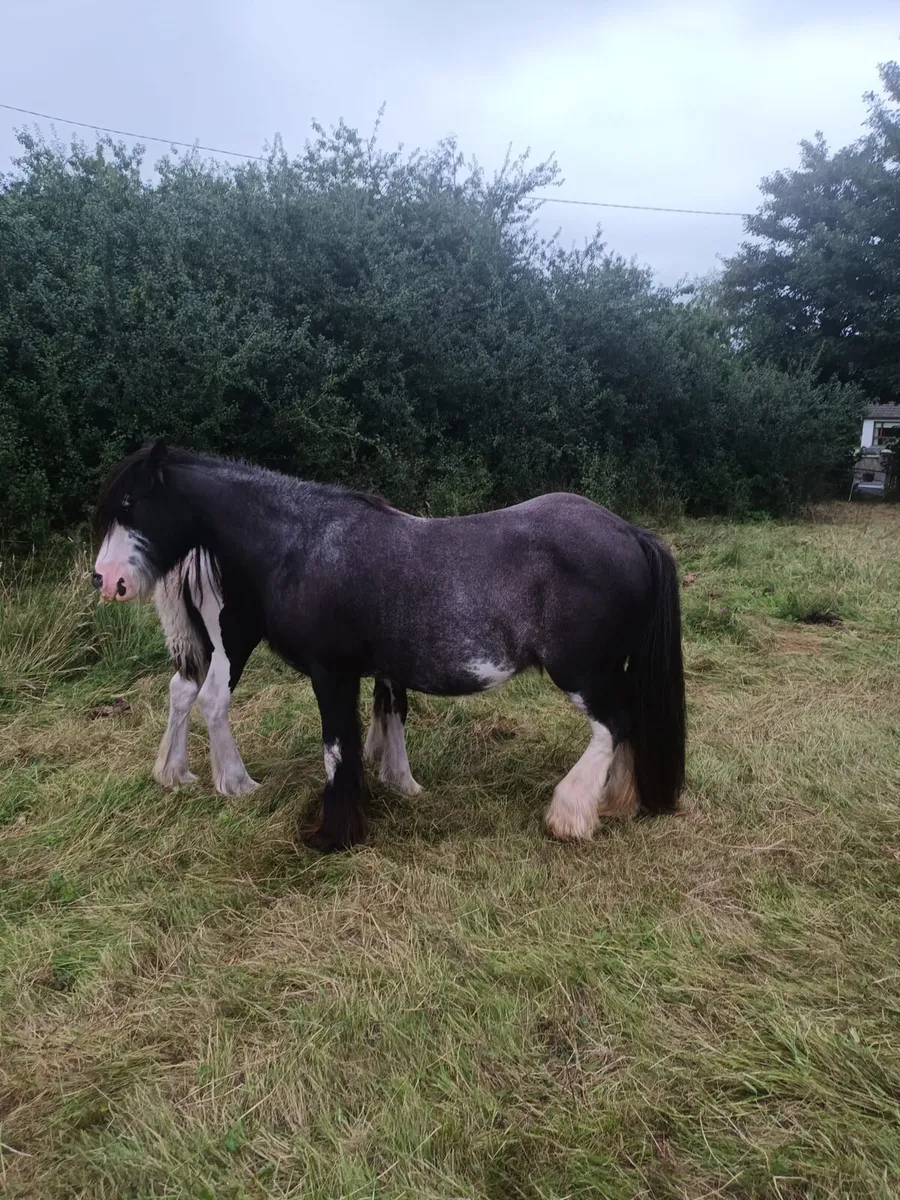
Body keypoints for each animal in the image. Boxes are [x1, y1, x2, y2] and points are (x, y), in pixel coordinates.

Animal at [147, 550, 418, 798]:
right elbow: (396, 706)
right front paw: (404, 780)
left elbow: (383, 698)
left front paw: (377, 753)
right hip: (233, 641)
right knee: (213, 699)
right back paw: (239, 783)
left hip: (203, 644)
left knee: (182, 688)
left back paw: (174, 772)